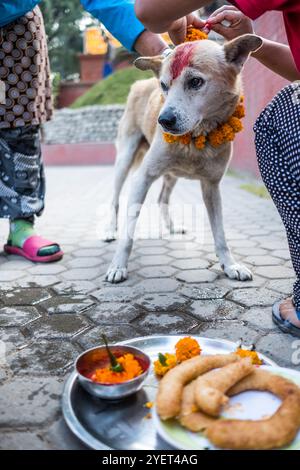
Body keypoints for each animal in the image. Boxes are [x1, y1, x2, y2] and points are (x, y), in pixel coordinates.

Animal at [103, 34, 262, 282]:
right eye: (164, 86)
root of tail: (139, 84)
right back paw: (111, 230)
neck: (198, 139)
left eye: (195, 82)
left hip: (172, 175)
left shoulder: (212, 186)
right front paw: (118, 265)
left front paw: (230, 265)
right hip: (125, 159)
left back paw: (172, 227)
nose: (163, 121)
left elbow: (220, 234)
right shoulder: (142, 178)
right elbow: (128, 234)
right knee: (115, 199)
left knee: (162, 198)